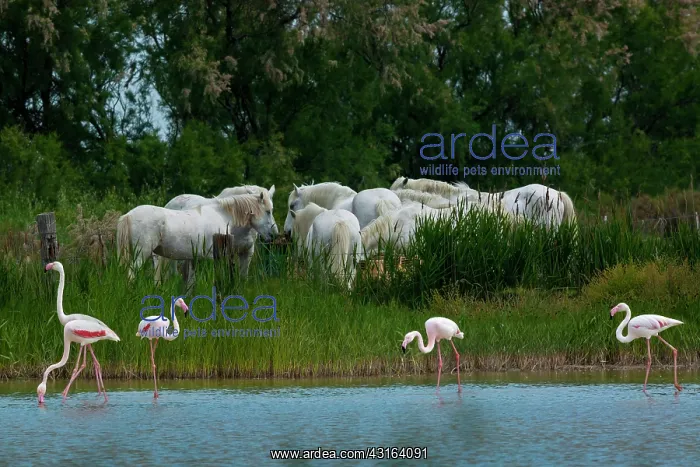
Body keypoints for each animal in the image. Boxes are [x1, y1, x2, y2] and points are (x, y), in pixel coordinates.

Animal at [116, 192, 279, 284]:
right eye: (268, 211)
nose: (274, 235)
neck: (220, 214)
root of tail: (128, 215)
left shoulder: (194, 258)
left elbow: (191, 282)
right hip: (141, 254)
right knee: (131, 275)